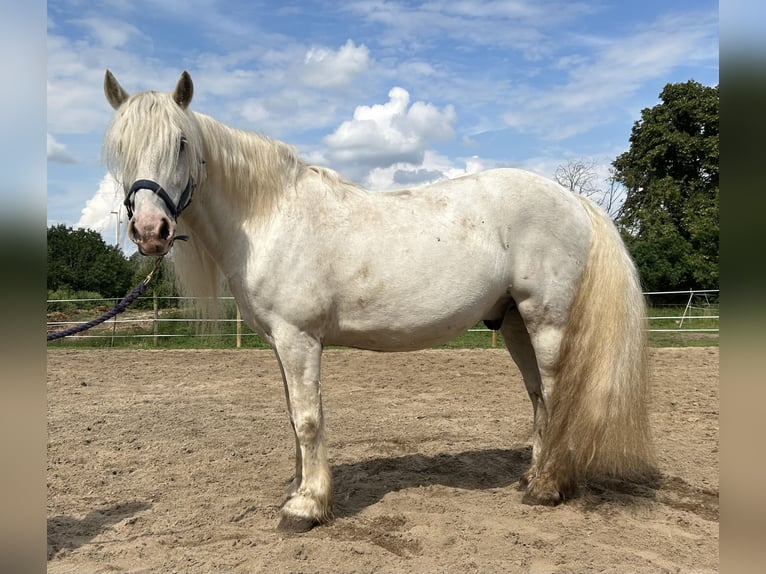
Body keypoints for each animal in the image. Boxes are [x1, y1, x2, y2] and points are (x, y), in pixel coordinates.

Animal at [102, 70, 656, 532]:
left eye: (180, 143)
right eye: (120, 149)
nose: (150, 231)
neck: (271, 216)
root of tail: (572, 199)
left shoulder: (299, 339)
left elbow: (308, 419)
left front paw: (307, 507)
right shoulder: (281, 344)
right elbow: (292, 417)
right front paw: (297, 489)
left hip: (547, 321)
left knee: (557, 396)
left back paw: (546, 488)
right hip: (516, 322)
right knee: (539, 397)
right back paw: (532, 476)